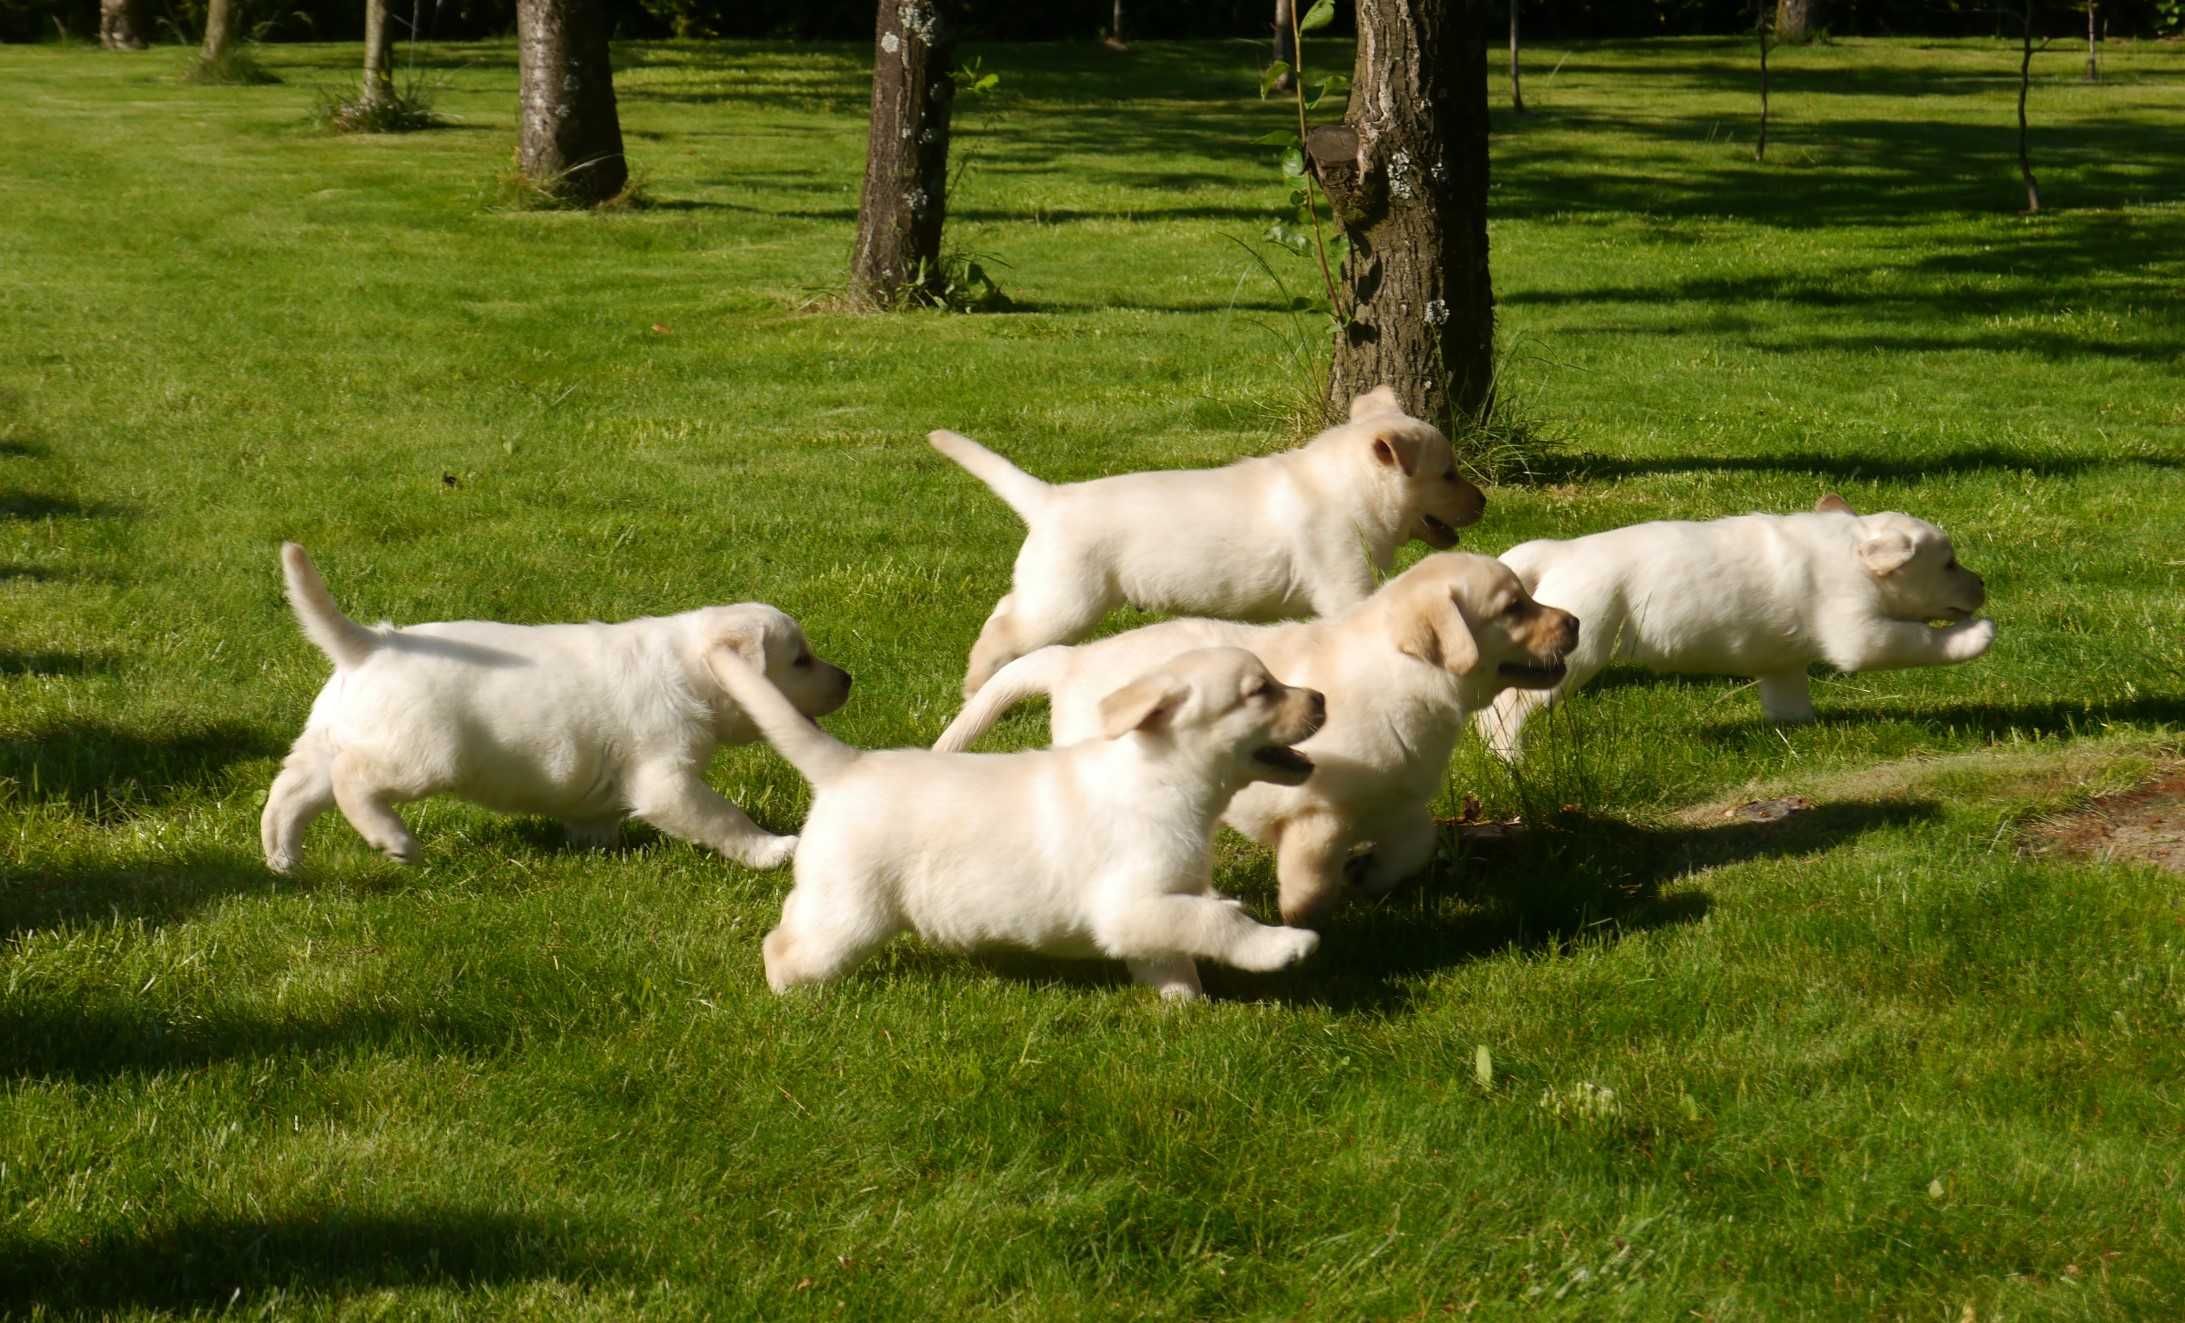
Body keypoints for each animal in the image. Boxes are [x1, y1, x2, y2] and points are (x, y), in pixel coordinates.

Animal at [264, 542, 852, 870]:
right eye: (800, 660)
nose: (848, 679)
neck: (690, 666)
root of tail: (370, 644)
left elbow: (594, 814)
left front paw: (597, 848)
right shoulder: (667, 779)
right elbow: (724, 818)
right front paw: (771, 850)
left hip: (326, 741)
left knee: (290, 792)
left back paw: (282, 859)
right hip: (421, 757)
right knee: (353, 782)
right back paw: (394, 842)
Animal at [721, 642, 1328, 1001]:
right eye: (1260, 691)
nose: (1321, 697)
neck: (1163, 779)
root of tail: (845, 766)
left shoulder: (1158, 903)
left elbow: (1173, 955)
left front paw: (1184, 1008)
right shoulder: (1128, 905)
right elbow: (1215, 922)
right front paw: (1283, 945)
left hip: (832, 899)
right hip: (852, 915)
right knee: (785, 949)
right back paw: (790, 995)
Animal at [930, 384, 1494, 695]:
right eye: (1447, 474)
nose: (1484, 503)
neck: (1350, 486)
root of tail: (1049, 499)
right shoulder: (1344, 584)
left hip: (1049, 591)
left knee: (1004, 609)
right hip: (1069, 601)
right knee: (1001, 633)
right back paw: (975, 687)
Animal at [930, 551, 1581, 922]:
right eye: (1514, 607)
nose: (1574, 621)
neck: (1408, 678)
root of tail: (1070, 661)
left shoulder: (1401, 803)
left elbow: (1415, 845)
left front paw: (1370, 878)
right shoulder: (1317, 813)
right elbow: (1310, 885)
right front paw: (1302, 921)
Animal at [1477, 489, 1992, 756]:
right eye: (1948, 565)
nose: (1982, 583)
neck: (1853, 552)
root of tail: (1556, 551)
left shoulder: (1783, 663)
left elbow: (1789, 701)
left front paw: (1799, 731)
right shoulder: (1862, 635)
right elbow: (1920, 639)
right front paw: (1977, 635)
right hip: (1574, 653)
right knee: (1504, 710)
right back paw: (1509, 756)